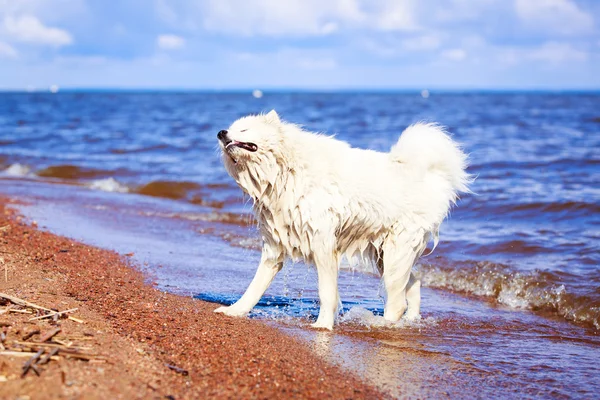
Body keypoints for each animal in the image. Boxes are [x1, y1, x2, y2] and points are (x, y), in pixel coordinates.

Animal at [214, 109, 468, 328]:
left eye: (244, 129)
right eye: (231, 128)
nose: (221, 133)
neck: (283, 171)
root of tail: (435, 176)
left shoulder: (322, 244)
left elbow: (326, 293)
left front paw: (323, 326)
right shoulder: (275, 246)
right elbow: (254, 287)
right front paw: (234, 311)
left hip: (396, 251)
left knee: (397, 302)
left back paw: (382, 325)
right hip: (384, 255)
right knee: (413, 284)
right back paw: (411, 321)